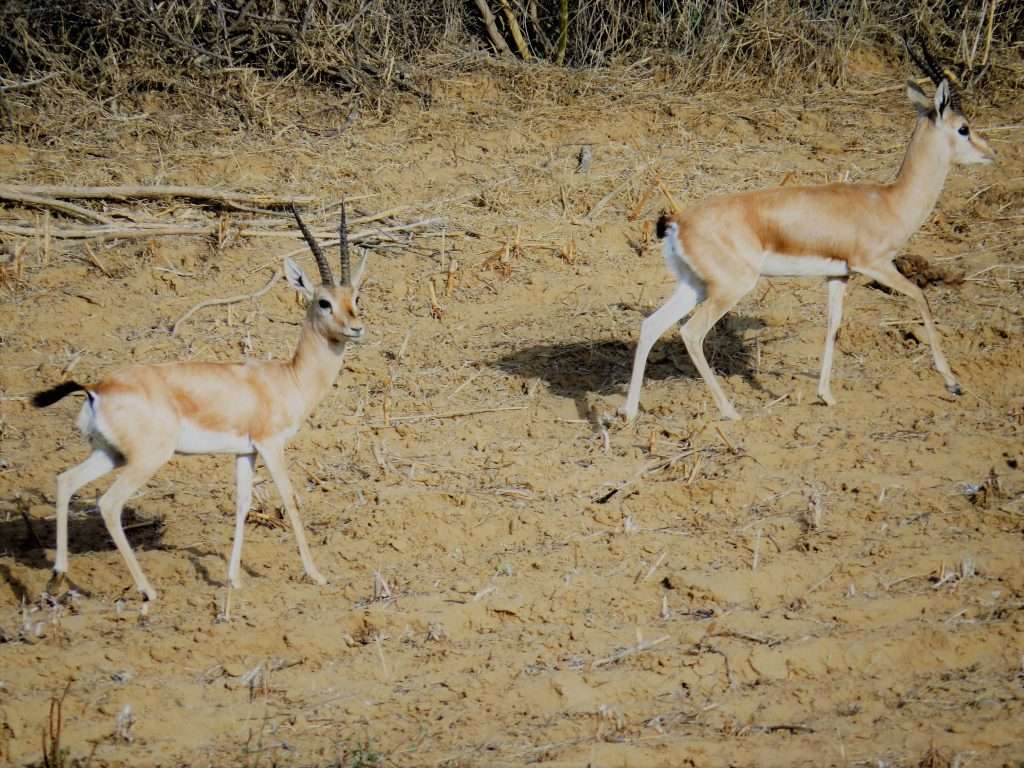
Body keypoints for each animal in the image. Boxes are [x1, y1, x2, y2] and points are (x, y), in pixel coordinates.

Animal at [32, 203, 367, 604]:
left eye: (355, 298)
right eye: (323, 302)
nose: (356, 328)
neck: (287, 379)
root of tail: (96, 387)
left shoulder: (245, 451)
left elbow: (243, 503)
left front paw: (233, 579)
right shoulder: (271, 445)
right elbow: (290, 499)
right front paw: (315, 574)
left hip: (109, 454)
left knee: (66, 481)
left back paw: (57, 577)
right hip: (146, 459)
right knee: (109, 504)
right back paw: (147, 591)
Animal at [620, 40, 995, 423]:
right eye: (964, 128)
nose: (991, 153)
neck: (889, 201)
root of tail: (677, 223)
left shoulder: (839, 276)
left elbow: (834, 326)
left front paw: (826, 395)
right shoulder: (875, 265)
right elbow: (922, 298)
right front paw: (952, 383)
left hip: (694, 287)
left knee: (651, 325)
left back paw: (629, 412)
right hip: (730, 289)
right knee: (691, 333)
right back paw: (730, 412)